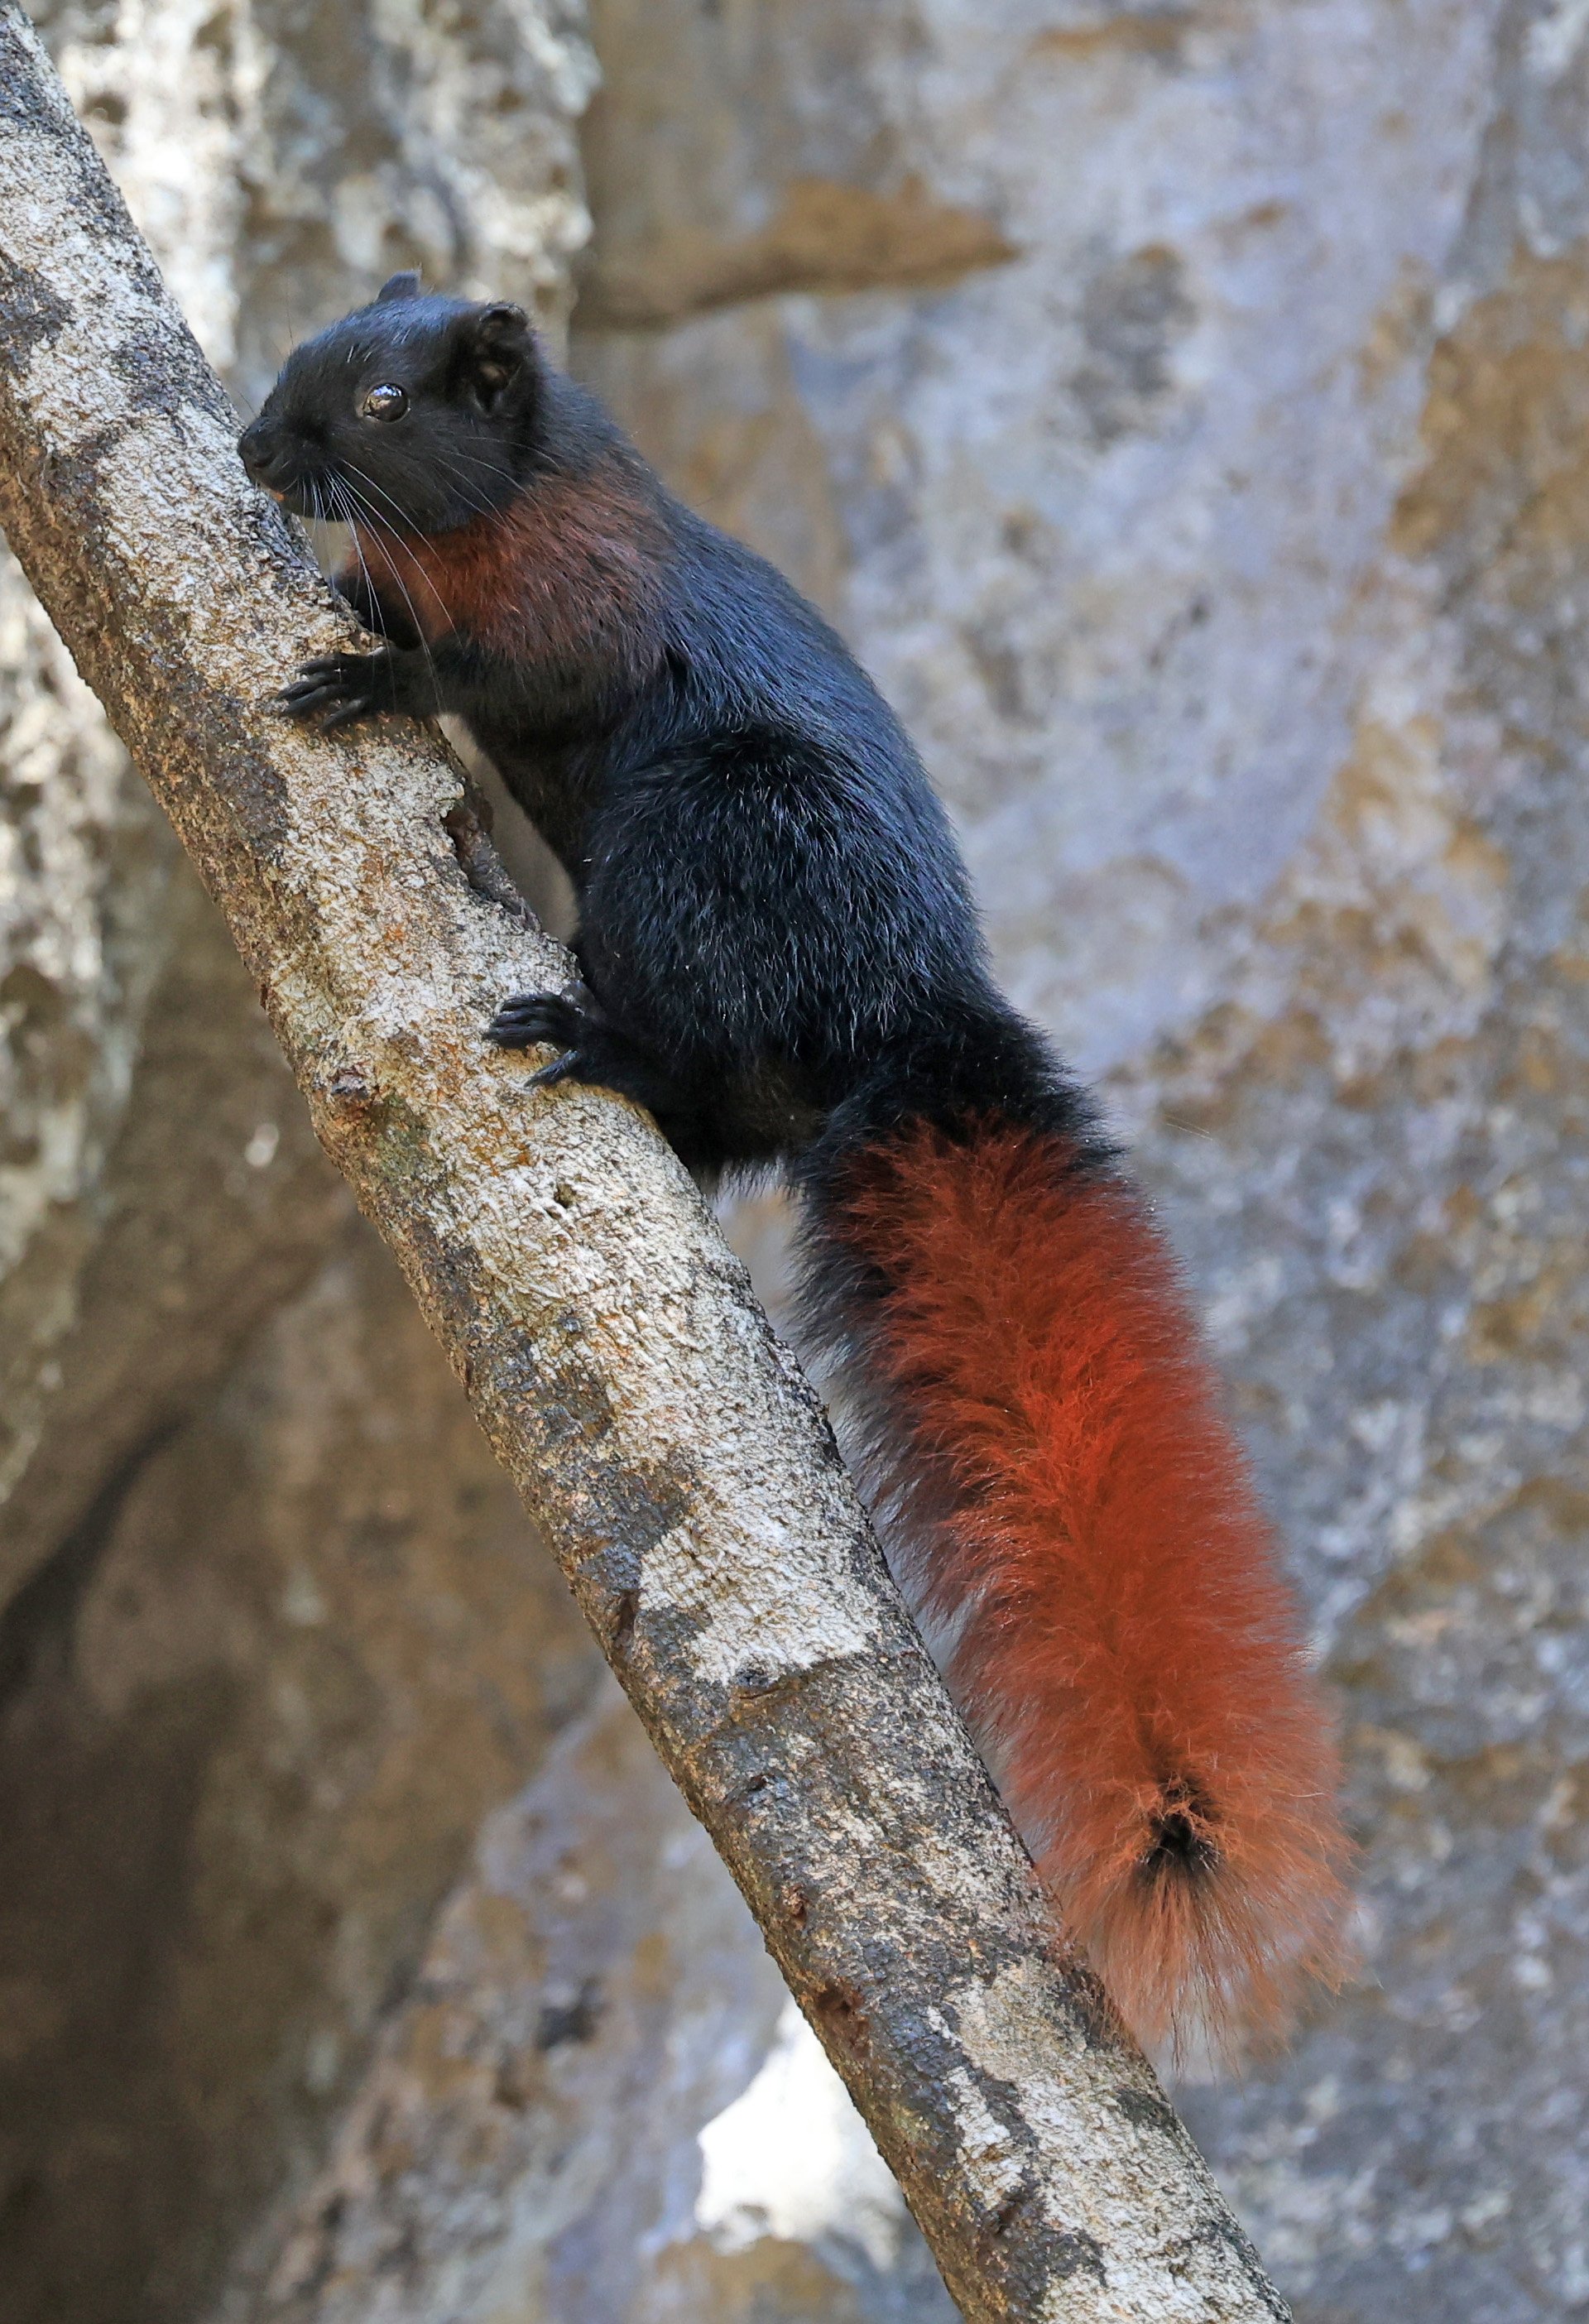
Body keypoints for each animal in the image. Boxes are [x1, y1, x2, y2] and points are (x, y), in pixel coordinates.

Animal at [240, 274, 1350, 2056]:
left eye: (392, 400)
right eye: (316, 347)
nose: (262, 447)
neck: (518, 505)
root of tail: (908, 1009)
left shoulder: (581, 605)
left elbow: (491, 670)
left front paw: (372, 676)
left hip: (697, 839)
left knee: (700, 1059)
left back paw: (597, 1039)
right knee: (729, 1125)